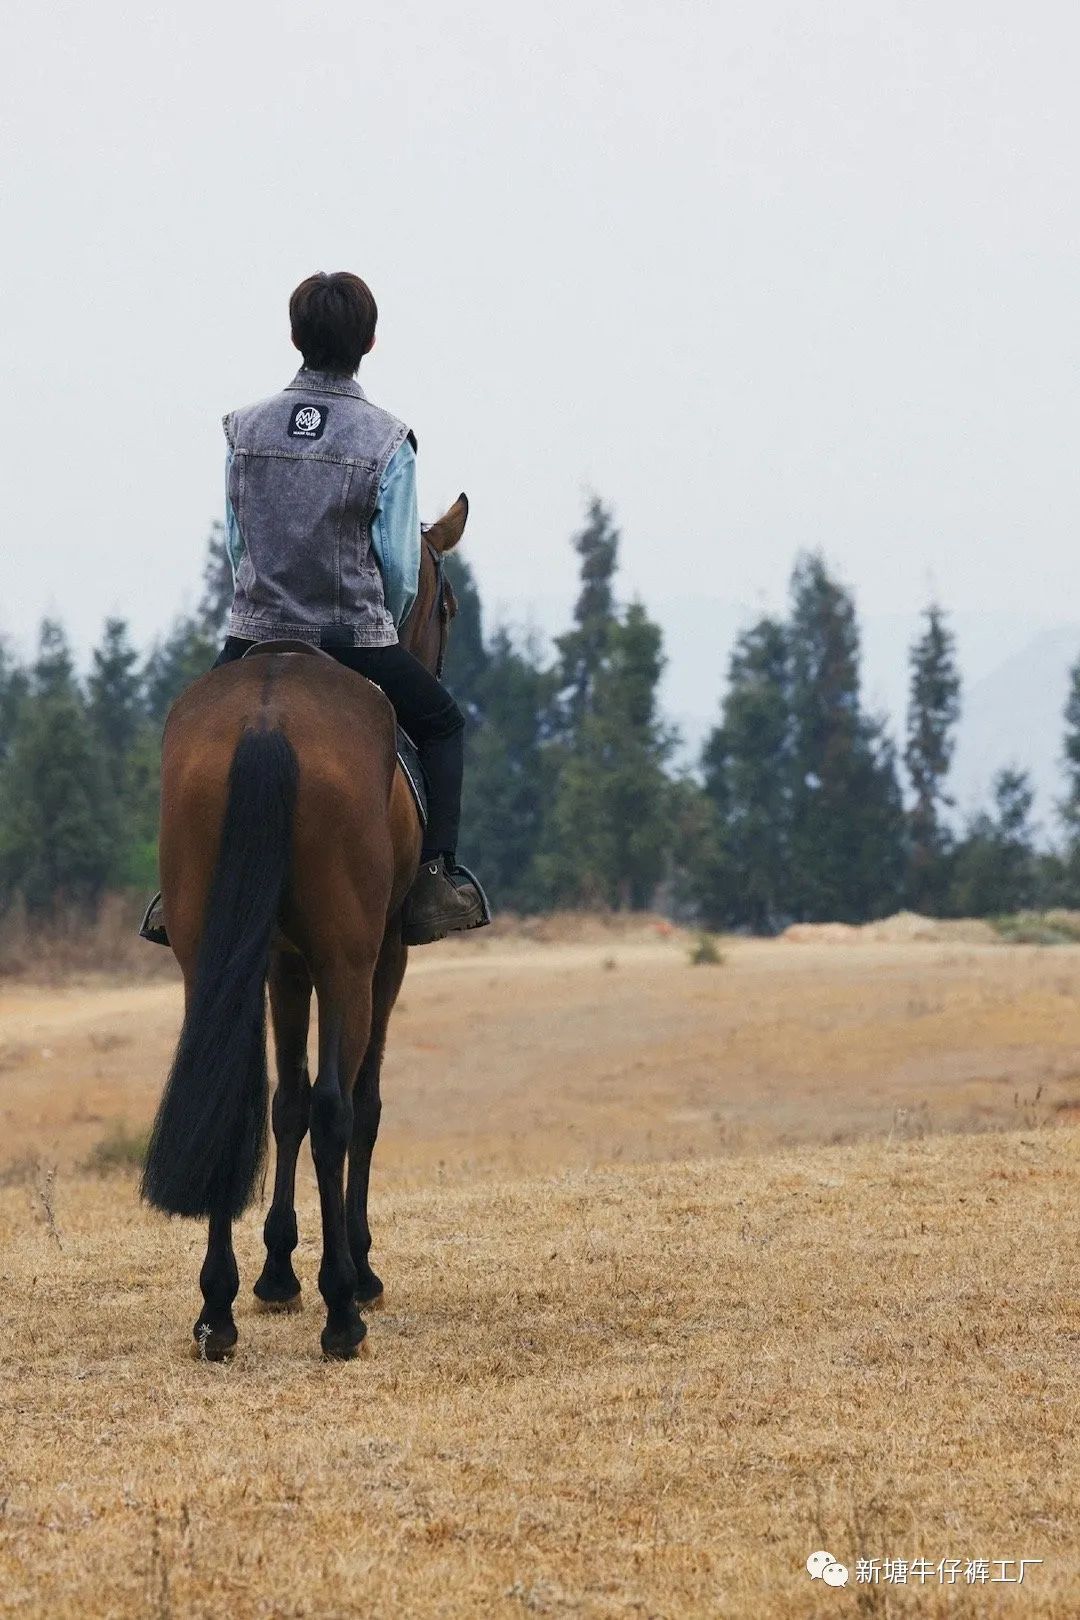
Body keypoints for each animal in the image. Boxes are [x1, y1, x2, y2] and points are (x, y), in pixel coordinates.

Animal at [141, 489, 466, 1354]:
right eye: (449, 606)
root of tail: (267, 719)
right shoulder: (382, 957)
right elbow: (357, 1103)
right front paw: (352, 1268)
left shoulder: (282, 963)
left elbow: (281, 1103)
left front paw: (275, 1272)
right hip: (351, 958)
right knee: (336, 1107)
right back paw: (343, 1310)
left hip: (212, 954)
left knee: (237, 1095)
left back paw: (217, 1309)